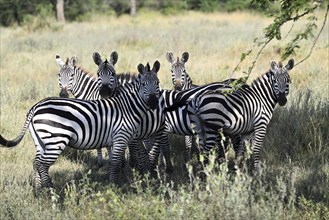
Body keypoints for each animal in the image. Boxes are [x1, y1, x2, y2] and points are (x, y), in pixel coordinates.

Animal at [0, 59, 161, 194]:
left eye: (157, 83)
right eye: (144, 85)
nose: (154, 102)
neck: (128, 106)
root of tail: (35, 106)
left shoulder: (121, 139)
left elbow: (121, 160)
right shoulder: (121, 137)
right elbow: (117, 163)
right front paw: (114, 188)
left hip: (41, 141)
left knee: (36, 163)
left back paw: (38, 193)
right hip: (56, 140)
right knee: (42, 165)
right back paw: (53, 194)